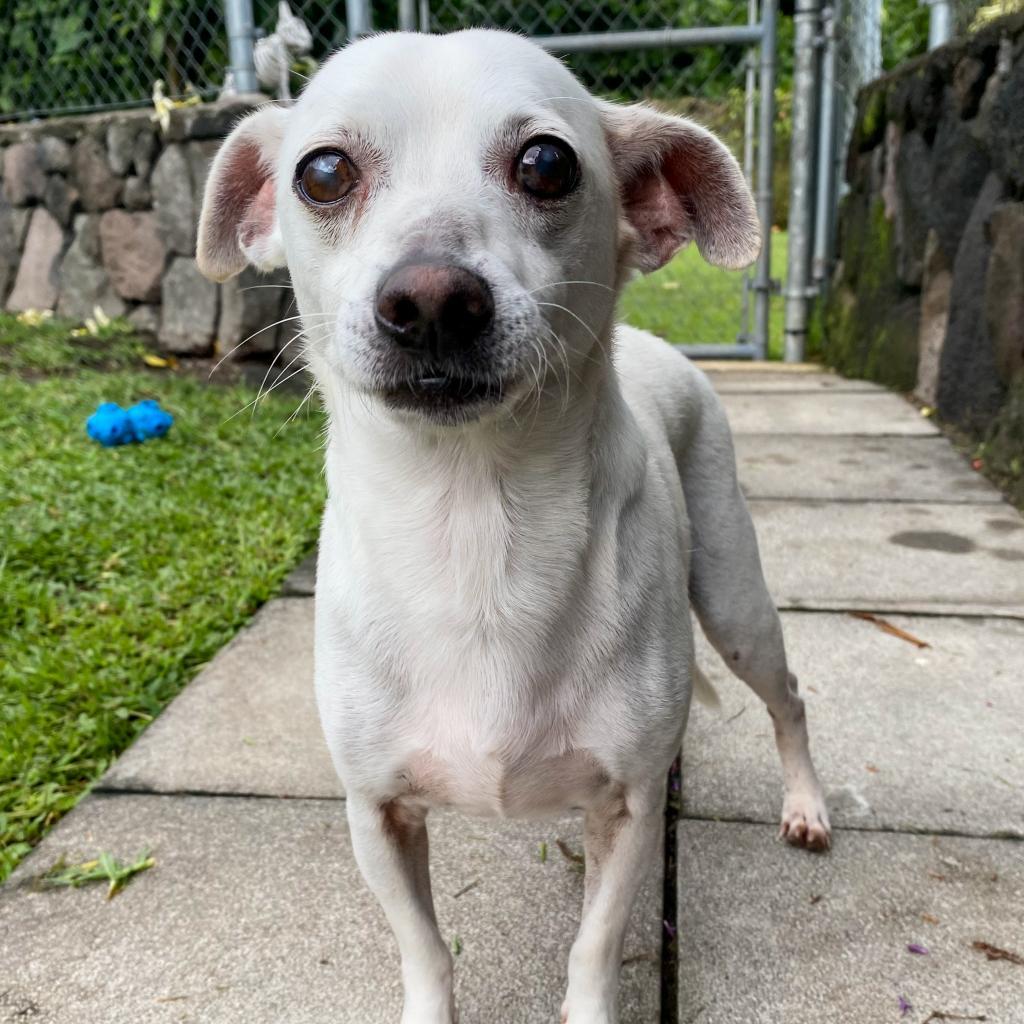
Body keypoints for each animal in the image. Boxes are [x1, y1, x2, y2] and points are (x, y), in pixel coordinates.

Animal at [199, 28, 831, 1019]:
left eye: (546, 163)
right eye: (323, 172)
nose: (429, 298)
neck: (474, 524)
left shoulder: (627, 811)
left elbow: (594, 947)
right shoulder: (376, 811)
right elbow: (423, 947)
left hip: (735, 602)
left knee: (788, 697)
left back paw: (806, 805)